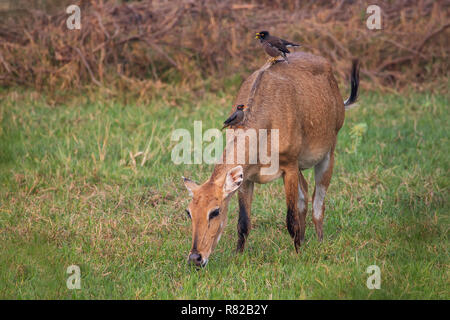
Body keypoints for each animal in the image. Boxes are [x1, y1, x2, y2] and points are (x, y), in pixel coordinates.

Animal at [183, 52, 358, 268]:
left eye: (215, 211)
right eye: (189, 212)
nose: (195, 258)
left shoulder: (289, 166)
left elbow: (290, 218)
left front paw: (298, 255)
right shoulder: (247, 177)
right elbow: (243, 222)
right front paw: (238, 255)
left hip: (328, 154)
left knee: (318, 203)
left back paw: (319, 242)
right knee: (305, 193)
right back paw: (304, 240)